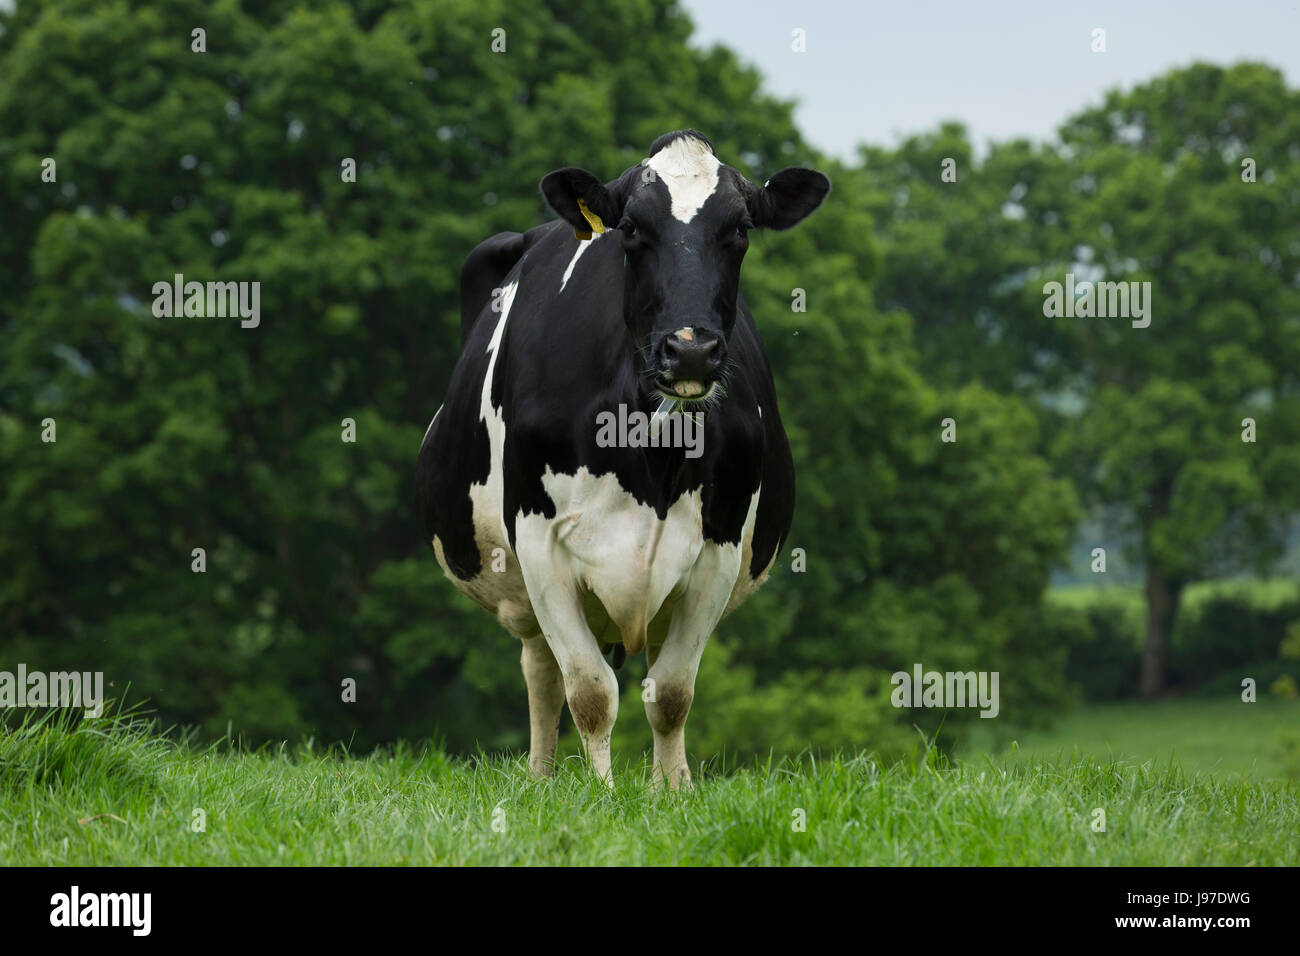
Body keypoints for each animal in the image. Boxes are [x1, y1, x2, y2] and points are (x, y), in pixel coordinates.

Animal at [417, 130, 829, 789]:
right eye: (631, 228)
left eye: (740, 229)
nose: (691, 351)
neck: (650, 459)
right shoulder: (540, 542)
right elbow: (589, 691)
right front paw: (600, 794)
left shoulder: (717, 548)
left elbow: (672, 693)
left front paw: (671, 794)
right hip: (527, 588)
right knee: (542, 674)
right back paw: (541, 778)